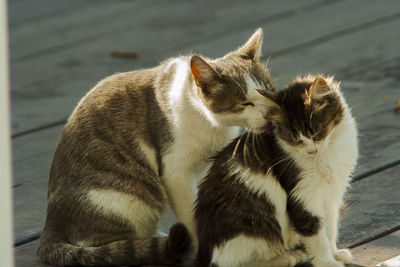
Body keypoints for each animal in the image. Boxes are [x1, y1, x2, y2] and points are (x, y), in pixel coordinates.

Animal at [36, 28, 276, 266]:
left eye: (269, 92)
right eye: (246, 103)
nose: (270, 114)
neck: (211, 124)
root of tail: (50, 227)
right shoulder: (175, 173)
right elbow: (190, 213)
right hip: (123, 200)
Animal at [195, 75, 360, 267]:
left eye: (316, 133)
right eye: (295, 139)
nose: (312, 151)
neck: (326, 154)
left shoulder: (332, 196)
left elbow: (330, 230)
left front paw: (336, 254)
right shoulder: (303, 195)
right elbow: (317, 237)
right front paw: (328, 263)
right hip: (248, 233)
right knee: (237, 262)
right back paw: (286, 258)